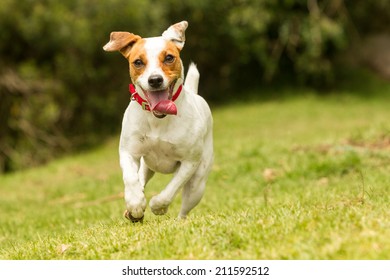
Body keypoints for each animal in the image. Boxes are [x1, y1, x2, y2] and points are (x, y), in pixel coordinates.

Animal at [103, 20, 213, 222]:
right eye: (138, 62)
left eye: (169, 58)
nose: (155, 80)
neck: (158, 120)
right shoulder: (129, 152)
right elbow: (130, 178)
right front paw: (135, 203)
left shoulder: (189, 162)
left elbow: (172, 188)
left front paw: (158, 205)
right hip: (147, 166)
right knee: (141, 178)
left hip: (197, 184)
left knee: (184, 207)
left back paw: (179, 221)